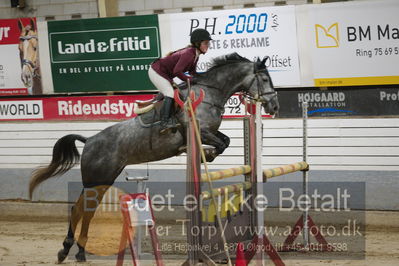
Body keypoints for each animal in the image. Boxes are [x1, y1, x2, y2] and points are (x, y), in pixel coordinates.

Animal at [28, 53, 280, 262]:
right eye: (264, 79)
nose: (274, 106)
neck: (210, 94)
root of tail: (89, 140)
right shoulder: (199, 130)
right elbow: (220, 144)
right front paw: (205, 155)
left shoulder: (210, 131)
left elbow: (225, 141)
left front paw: (206, 155)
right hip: (95, 179)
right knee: (78, 210)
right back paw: (66, 250)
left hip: (103, 180)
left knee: (86, 211)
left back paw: (79, 252)